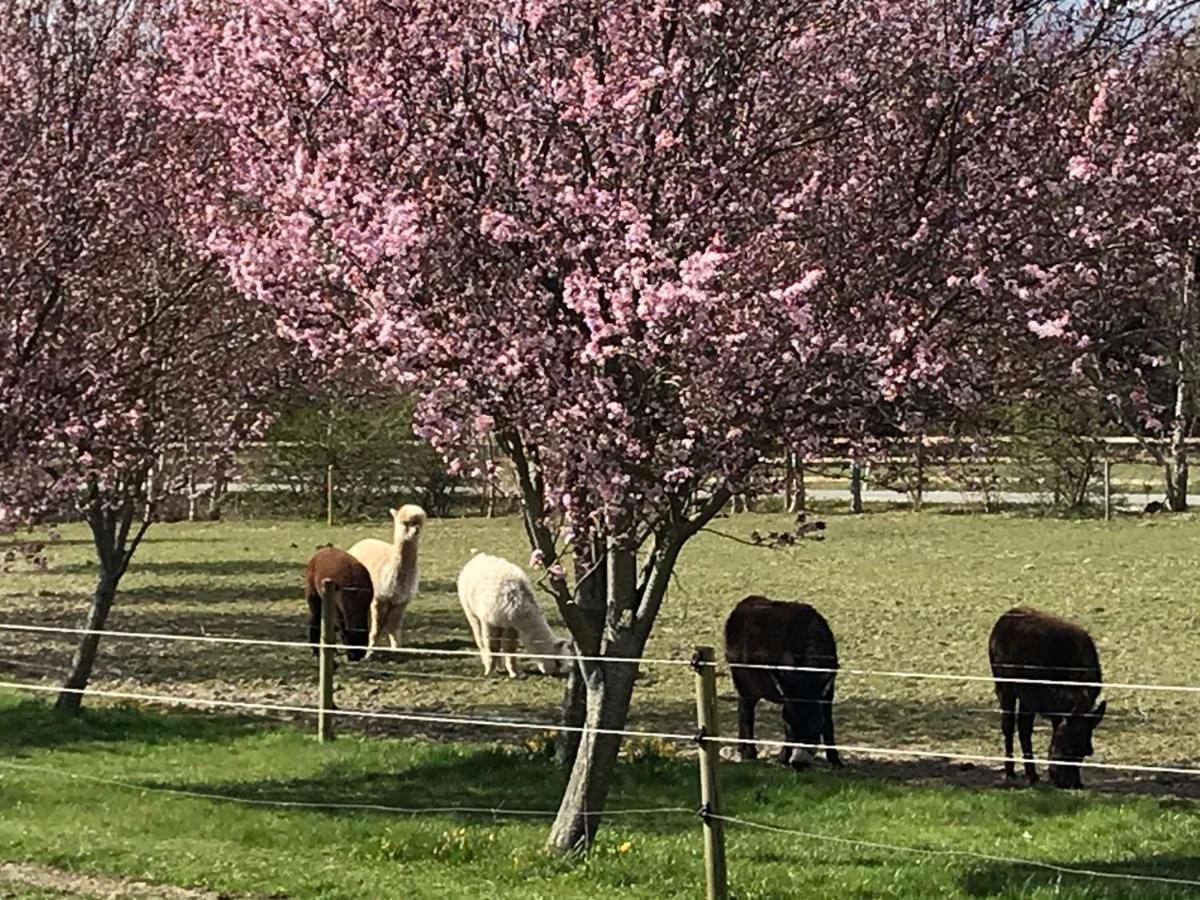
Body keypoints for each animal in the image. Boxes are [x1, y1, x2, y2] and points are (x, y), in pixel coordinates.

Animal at [984, 607, 1104, 787]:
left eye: (1085, 752)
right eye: (1068, 749)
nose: (1070, 783)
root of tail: (1005, 616)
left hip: (1026, 697)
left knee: (1023, 729)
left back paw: (1031, 774)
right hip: (1004, 686)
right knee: (1008, 726)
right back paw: (1010, 771)